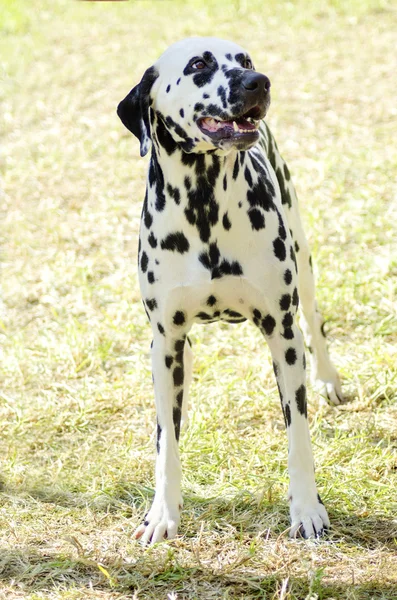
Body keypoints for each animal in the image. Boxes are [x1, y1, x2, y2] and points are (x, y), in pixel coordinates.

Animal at [116, 36, 342, 544]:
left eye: (246, 61)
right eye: (199, 64)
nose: (259, 82)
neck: (205, 208)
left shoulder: (282, 334)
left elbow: (297, 434)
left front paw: (307, 509)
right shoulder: (165, 342)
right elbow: (166, 442)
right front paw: (162, 513)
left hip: (304, 263)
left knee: (315, 322)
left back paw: (329, 380)